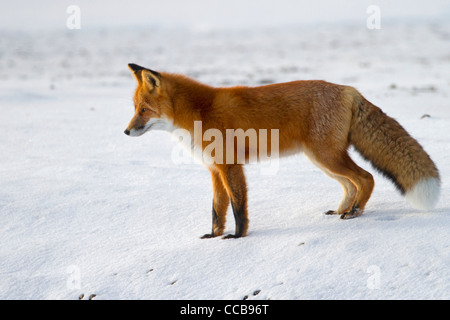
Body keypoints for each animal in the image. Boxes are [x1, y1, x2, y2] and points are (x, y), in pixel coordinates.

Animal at [125, 63, 442, 238]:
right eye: (135, 108)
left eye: (144, 110)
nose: (126, 132)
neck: (199, 112)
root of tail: (348, 89)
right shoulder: (215, 170)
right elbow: (217, 210)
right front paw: (213, 237)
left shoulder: (230, 166)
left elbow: (238, 207)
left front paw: (238, 237)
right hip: (321, 160)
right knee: (351, 184)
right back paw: (343, 209)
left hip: (327, 157)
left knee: (366, 178)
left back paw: (354, 213)